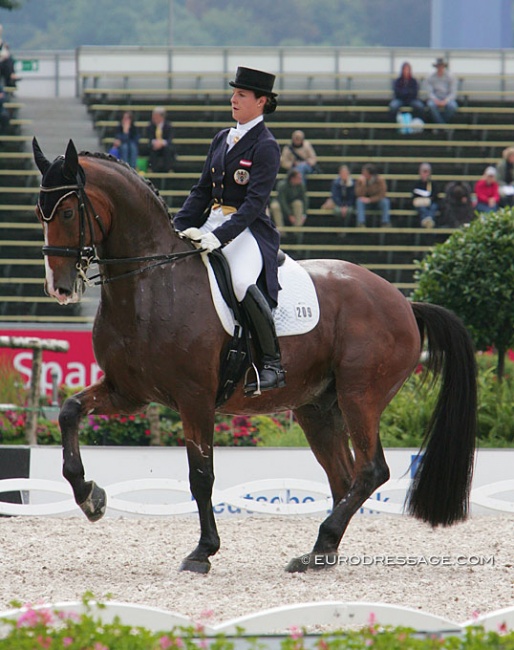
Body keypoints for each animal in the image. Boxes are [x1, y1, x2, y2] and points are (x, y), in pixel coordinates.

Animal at [33, 140, 476, 572]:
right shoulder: (129, 392)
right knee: (343, 476)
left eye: (68, 211)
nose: (59, 288)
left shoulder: (194, 398)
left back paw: (322, 541)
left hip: (360, 396)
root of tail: (404, 302)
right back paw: (320, 552)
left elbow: (201, 476)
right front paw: (91, 497)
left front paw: (203, 552)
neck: (152, 283)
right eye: (40, 212)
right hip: (318, 407)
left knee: (370, 470)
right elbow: (69, 412)